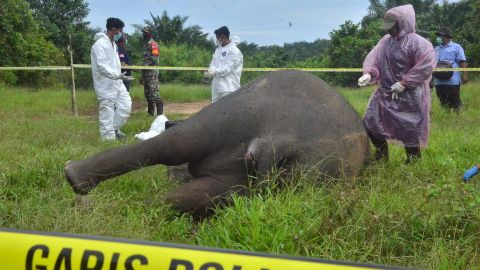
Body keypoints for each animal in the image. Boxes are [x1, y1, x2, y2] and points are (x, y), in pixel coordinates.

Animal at [64, 70, 368, 216]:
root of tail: (283, 138)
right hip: (243, 114)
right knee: (180, 149)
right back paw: (79, 190)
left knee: (179, 166)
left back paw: (80, 192)